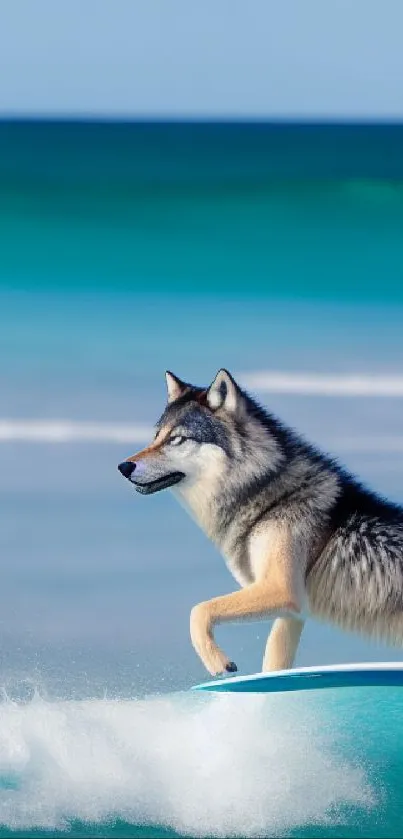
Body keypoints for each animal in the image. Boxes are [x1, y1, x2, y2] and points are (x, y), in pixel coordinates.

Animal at [117, 370, 403, 680]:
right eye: (156, 436)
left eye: (177, 439)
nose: (124, 467)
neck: (268, 497)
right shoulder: (294, 609)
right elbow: (273, 665)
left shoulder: (282, 589)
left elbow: (198, 611)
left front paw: (219, 664)